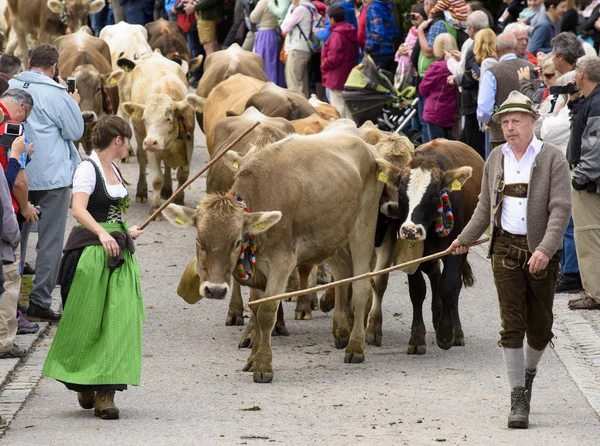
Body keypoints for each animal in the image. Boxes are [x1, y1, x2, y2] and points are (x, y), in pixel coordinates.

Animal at [162, 119, 392, 384]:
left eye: (236, 242)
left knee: (362, 286)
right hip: (330, 234)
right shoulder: (259, 268)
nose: (215, 290)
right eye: (199, 240)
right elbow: (255, 308)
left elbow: (266, 312)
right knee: (344, 271)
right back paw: (341, 331)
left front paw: (263, 365)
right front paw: (253, 357)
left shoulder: (281, 262)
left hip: (363, 228)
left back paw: (355, 346)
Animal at [382, 139, 486, 356]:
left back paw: (456, 331)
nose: (411, 229)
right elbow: (418, 290)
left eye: (434, 196)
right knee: (434, 275)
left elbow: (448, 285)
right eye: (401, 194)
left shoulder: (456, 246)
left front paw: (446, 333)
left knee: (452, 284)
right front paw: (417, 337)